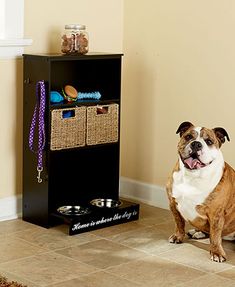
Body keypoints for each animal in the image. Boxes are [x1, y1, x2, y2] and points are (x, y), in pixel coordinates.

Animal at [165, 121, 235, 264]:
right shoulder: (173, 204)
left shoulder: (216, 214)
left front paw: (217, 252)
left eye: (209, 141)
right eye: (188, 137)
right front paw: (178, 236)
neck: (193, 175)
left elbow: (215, 235)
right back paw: (198, 232)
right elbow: (179, 223)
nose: (196, 144)